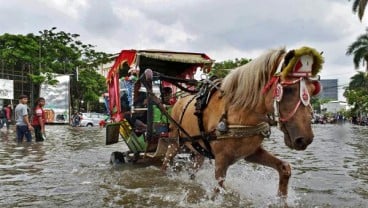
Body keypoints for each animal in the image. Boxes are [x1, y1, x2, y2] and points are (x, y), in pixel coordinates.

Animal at [162, 46, 324, 197]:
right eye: (289, 89)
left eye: (312, 90)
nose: (305, 139)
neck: (239, 114)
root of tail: (178, 101)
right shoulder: (221, 161)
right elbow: (218, 189)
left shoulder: (251, 152)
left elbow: (284, 168)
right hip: (174, 142)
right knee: (166, 163)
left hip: (198, 150)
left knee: (194, 168)